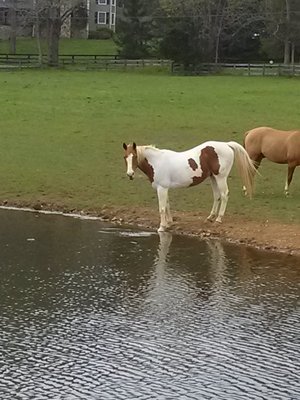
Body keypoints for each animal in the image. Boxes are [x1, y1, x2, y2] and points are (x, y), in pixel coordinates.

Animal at [122, 141, 255, 231]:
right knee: (217, 196)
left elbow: (162, 208)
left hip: (221, 177)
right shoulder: (165, 188)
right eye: (125, 157)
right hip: (213, 177)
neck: (157, 162)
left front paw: (162, 226)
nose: (130, 174)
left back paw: (218, 219)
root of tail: (227, 145)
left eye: (134, 157)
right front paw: (169, 223)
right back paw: (210, 217)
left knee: (224, 195)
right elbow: (167, 205)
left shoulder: (162, 188)